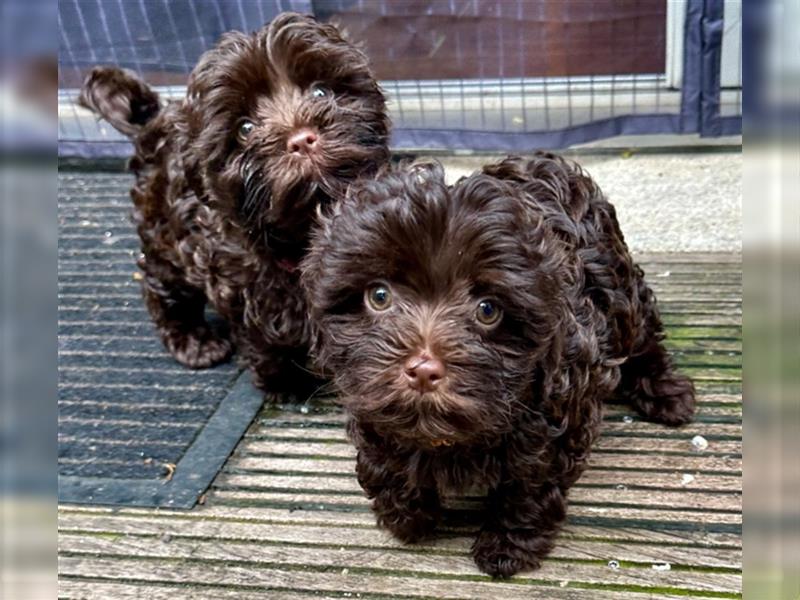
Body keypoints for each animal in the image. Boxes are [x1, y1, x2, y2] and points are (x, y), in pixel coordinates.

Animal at [77, 11, 388, 396]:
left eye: (321, 91)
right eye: (245, 128)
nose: (302, 139)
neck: (299, 235)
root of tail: (152, 124)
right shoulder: (239, 284)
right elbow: (265, 334)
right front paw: (287, 380)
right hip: (164, 237)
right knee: (161, 286)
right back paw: (194, 341)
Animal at [302, 155, 692, 576]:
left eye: (488, 310)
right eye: (378, 296)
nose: (423, 370)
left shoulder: (559, 409)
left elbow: (529, 483)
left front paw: (507, 546)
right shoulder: (370, 402)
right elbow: (383, 459)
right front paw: (407, 517)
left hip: (623, 294)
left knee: (644, 341)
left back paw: (668, 395)